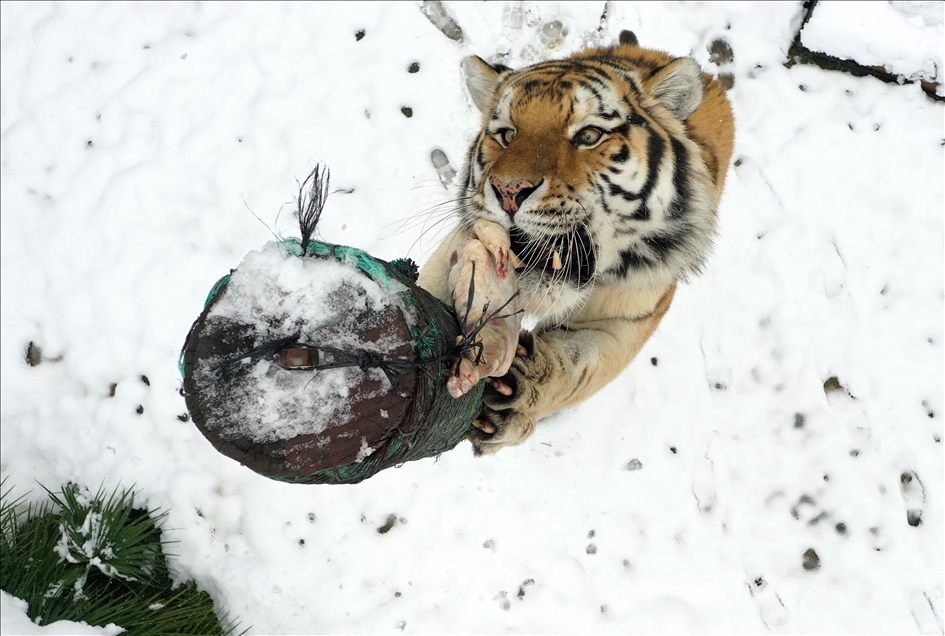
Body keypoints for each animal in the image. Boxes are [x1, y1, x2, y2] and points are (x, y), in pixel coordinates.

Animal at [416, 29, 732, 454]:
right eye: (507, 135)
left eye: (589, 135)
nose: (509, 190)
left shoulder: (632, 313)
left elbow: (583, 366)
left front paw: (521, 393)